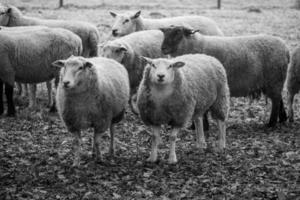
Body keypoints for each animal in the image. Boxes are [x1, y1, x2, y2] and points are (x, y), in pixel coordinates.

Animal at [161, 26, 290, 126]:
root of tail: (286, 49)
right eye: (165, 33)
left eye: (178, 33)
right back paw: (283, 119)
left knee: (276, 100)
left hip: (274, 79)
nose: (163, 48)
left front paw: (202, 126)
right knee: (279, 99)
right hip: (275, 81)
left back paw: (271, 123)